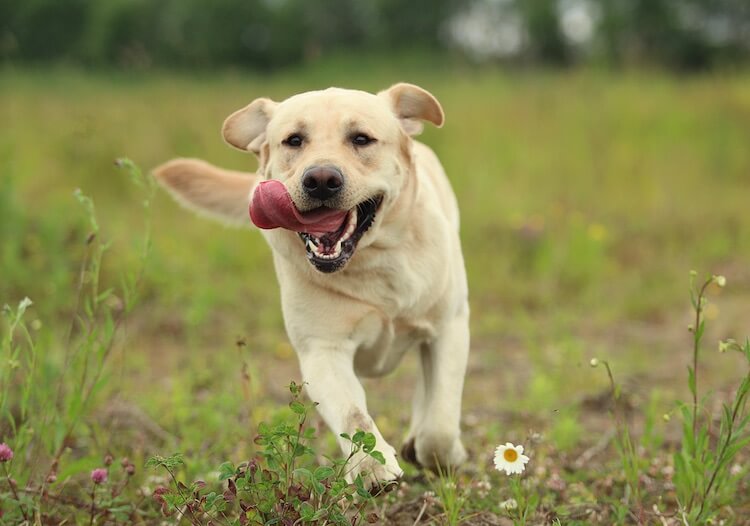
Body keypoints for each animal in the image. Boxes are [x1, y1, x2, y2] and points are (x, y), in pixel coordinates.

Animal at [152, 82, 470, 490]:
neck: (370, 263)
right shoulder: (322, 350)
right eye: (294, 140)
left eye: (361, 138)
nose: (320, 179)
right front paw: (372, 467)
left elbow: (440, 424)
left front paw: (439, 453)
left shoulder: (449, 327)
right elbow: (353, 414)